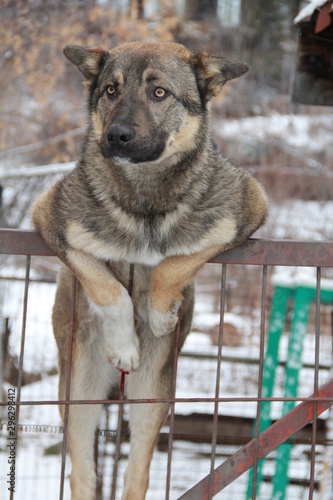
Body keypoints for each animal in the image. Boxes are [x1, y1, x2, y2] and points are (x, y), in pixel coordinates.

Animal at [31, 42, 268, 500]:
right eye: (110, 90)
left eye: (159, 93)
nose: (117, 136)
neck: (144, 196)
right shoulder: (50, 221)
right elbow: (108, 287)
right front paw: (124, 342)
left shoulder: (247, 213)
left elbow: (171, 263)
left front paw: (161, 314)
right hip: (79, 390)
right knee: (82, 470)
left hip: (152, 396)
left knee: (137, 470)